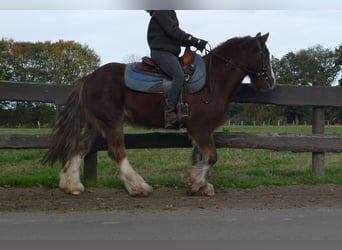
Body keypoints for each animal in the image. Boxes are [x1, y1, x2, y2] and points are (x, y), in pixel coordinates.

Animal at [44, 33, 276, 196]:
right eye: (265, 54)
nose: (271, 81)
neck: (213, 80)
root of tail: (88, 78)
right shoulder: (199, 127)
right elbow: (211, 156)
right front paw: (195, 183)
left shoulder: (202, 130)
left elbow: (200, 156)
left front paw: (200, 184)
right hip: (112, 122)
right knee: (117, 153)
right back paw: (139, 187)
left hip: (96, 124)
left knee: (79, 147)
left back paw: (71, 185)